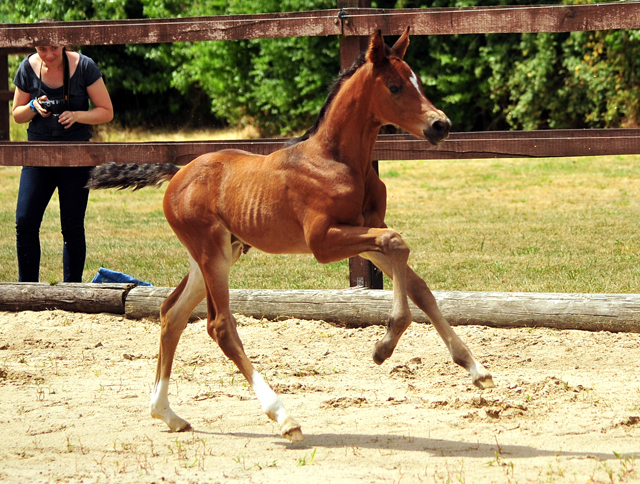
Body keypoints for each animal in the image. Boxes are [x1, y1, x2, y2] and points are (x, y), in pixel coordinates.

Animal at [87, 27, 492, 442]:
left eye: (418, 82)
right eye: (395, 87)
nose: (440, 125)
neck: (338, 159)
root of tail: (176, 173)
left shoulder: (363, 227)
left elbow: (415, 278)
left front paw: (474, 368)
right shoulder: (323, 241)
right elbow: (395, 242)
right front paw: (385, 344)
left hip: (216, 254)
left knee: (172, 313)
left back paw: (167, 413)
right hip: (212, 253)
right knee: (220, 326)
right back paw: (283, 416)